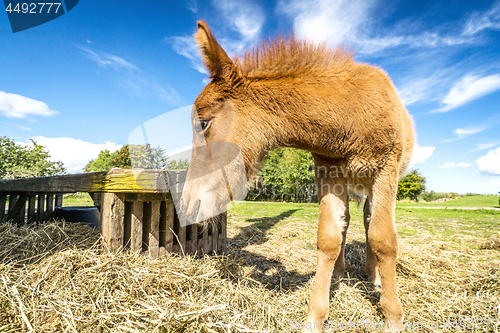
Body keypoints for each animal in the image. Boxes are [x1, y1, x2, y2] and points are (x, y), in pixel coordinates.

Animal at [180, 20, 414, 330]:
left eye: (202, 123)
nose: (187, 205)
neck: (352, 116)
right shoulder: (328, 173)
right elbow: (329, 238)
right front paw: (316, 315)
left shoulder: (386, 172)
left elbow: (383, 240)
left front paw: (393, 316)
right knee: (348, 224)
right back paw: (339, 274)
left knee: (368, 222)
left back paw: (374, 278)